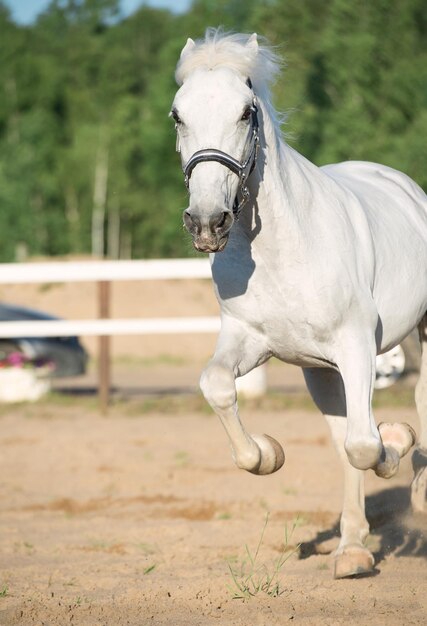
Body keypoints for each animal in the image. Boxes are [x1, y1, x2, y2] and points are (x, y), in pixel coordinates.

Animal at [171, 29, 427, 576]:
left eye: (246, 112)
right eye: (178, 115)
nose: (207, 222)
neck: (282, 249)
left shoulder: (356, 346)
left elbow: (367, 442)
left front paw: (397, 438)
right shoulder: (250, 340)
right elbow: (217, 387)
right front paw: (267, 453)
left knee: (411, 403)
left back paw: (416, 492)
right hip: (321, 372)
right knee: (342, 435)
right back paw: (352, 551)